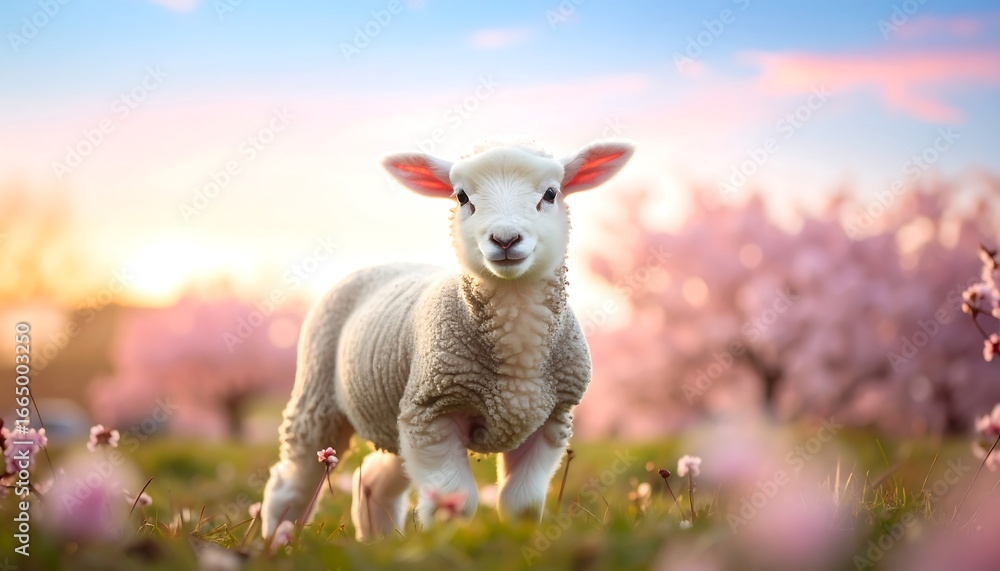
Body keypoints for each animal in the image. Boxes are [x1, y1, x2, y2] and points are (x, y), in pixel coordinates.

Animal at [261, 138, 635, 540]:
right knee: (293, 481)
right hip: (319, 398)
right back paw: (277, 540)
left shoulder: (550, 419)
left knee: (374, 480)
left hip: (395, 416)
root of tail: (387, 262)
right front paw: (443, 541)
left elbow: (522, 505)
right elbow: (456, 498)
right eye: (461, 196)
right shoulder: (432, 414)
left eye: (550, 194)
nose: (505, 239)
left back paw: (379, 542)